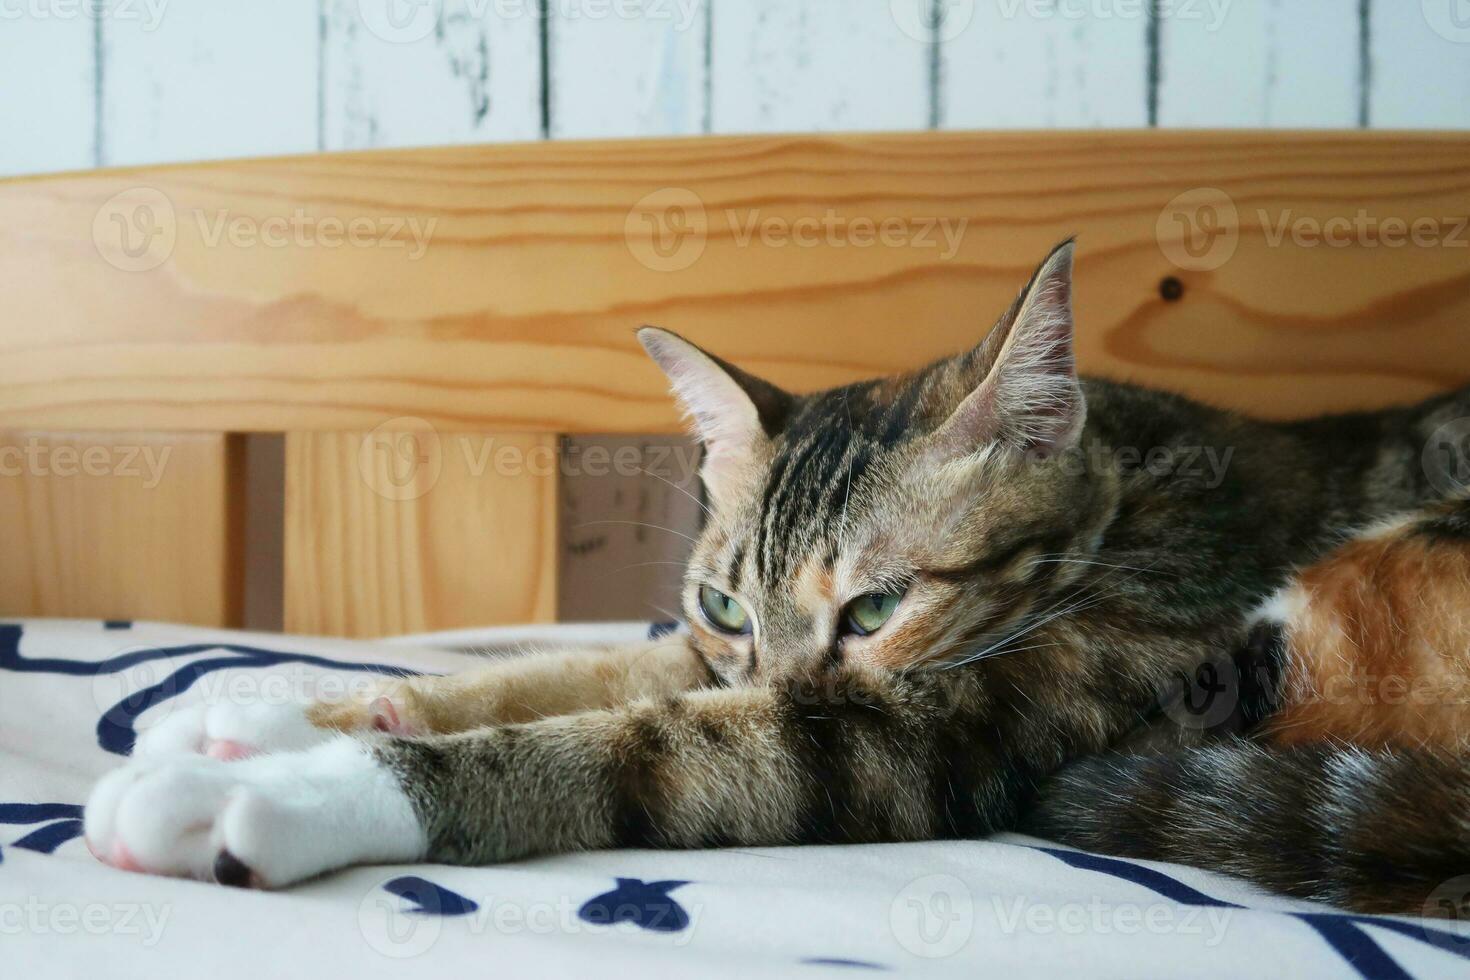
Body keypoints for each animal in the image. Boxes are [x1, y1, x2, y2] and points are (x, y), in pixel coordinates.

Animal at [80, 240, 1470, 916]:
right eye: (724, 603)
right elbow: (594, 668)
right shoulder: (707, 654)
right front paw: (269, 709)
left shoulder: (965, 716)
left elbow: (651, 738)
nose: (788, 664)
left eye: (877, 606)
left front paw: (276, 789)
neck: (1123, 495)